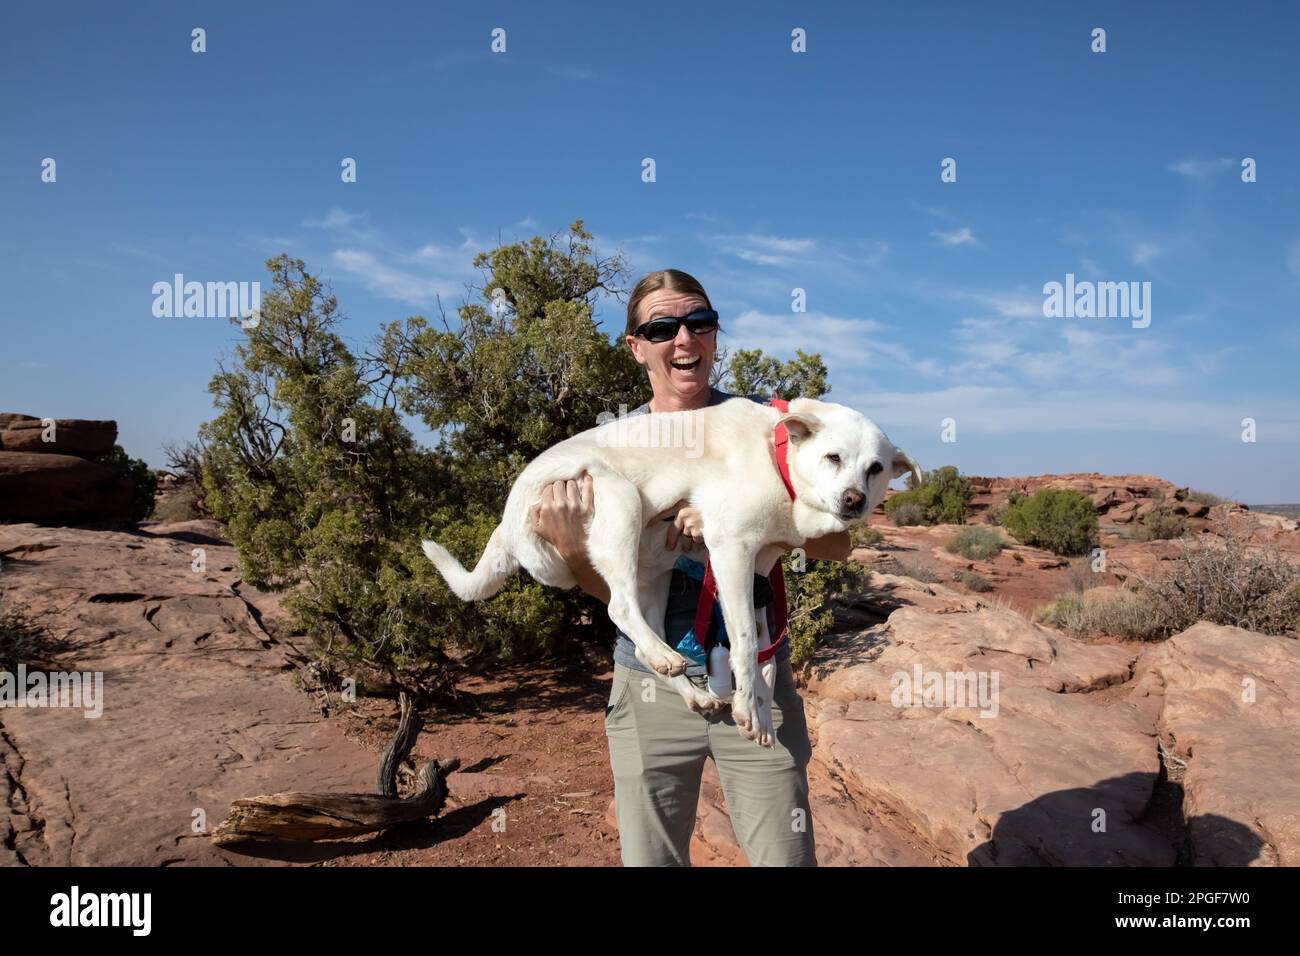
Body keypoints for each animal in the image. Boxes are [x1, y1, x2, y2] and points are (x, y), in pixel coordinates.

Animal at [421, 395, 920, 749]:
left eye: (876, 469)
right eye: (833, 458)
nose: (855, 501)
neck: (776, 454)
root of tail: (506, 520)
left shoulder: (760, 566)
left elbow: (764, 653)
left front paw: (758, 705)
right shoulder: (731, 548)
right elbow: (743, 642)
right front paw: (749, 709)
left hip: (655, 579)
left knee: (640, 636)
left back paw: (690, 687)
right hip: (618, 496)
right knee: (619, 609)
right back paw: (668, 657)